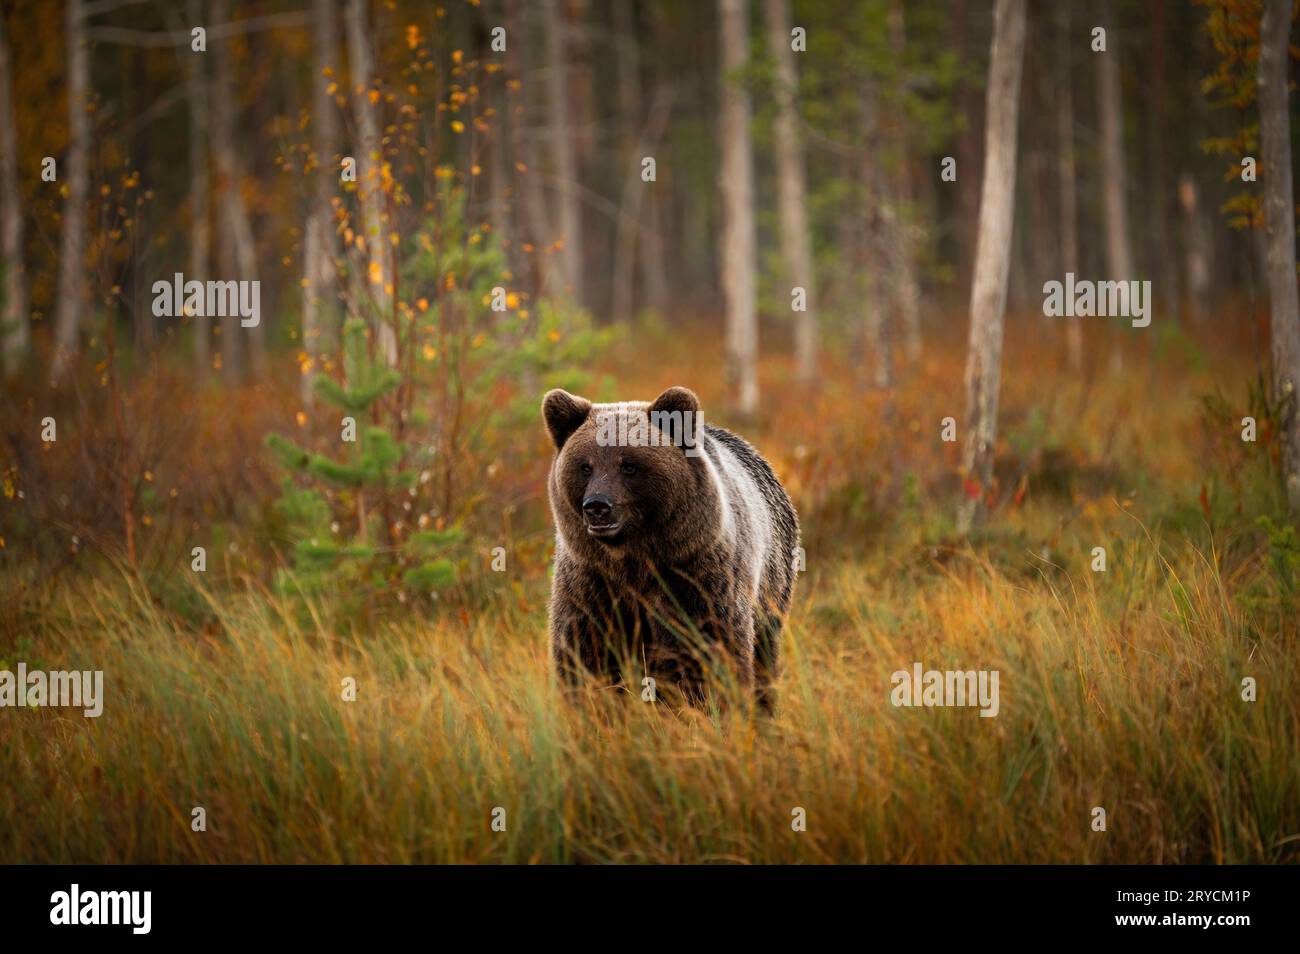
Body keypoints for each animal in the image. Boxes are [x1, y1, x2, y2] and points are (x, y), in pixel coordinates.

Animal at [542, 385, 799, 712]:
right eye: (585, 466)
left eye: (629, 465)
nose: (597, 506)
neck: (632, 558)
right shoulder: (590, 583)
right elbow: (586, 654)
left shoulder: (694, 575)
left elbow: (708, 648)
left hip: (772, 581)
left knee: (764, 652)